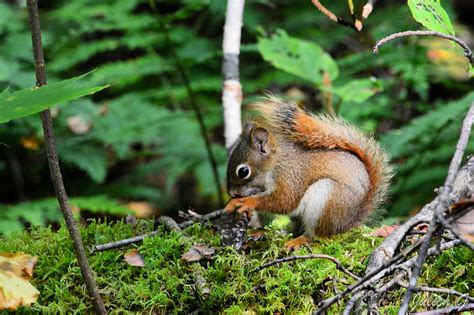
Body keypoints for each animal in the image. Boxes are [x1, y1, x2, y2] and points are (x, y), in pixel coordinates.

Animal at [224, 96, 390, 249]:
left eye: (243, 171)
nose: (232, 193)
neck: (275, 162)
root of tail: (348, 223)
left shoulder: (290, 174)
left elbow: (284, 201)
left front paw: (246, 202)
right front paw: (236, 206)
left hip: (327, 199)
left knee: (318, 235)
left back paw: (299, 240)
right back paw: (263, 233)